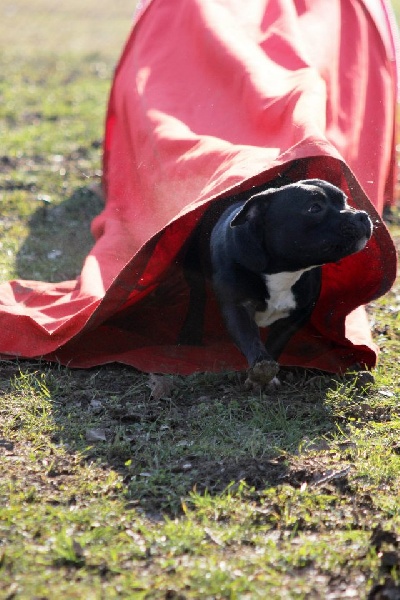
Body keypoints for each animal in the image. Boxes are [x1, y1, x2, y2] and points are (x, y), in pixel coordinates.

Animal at [178, 178, 372, 386]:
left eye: (345, 201)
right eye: (314, 208)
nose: (361, 215)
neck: (283, 271)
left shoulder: (299, 313)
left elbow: (276, 343)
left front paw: (267, 376)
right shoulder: (237, 307)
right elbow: (249, 339)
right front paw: (261, 368)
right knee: (198, 293)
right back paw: (191, 332)